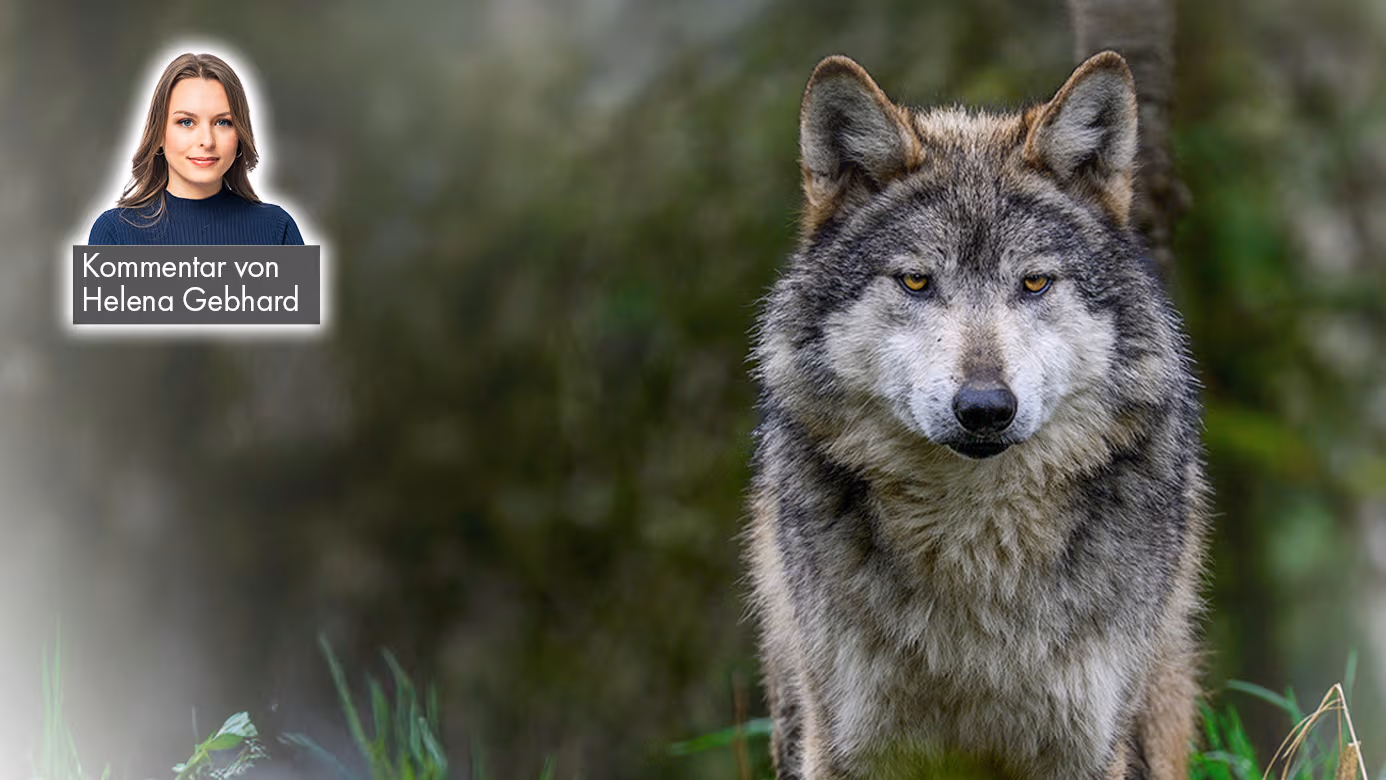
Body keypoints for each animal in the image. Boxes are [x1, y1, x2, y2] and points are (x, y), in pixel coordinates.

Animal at [745, 51, 1208, 780]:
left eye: (1034, 282)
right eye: (916, 281)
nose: (986, 408)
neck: (977, 546)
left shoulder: (1086, 748)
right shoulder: (851, 746)